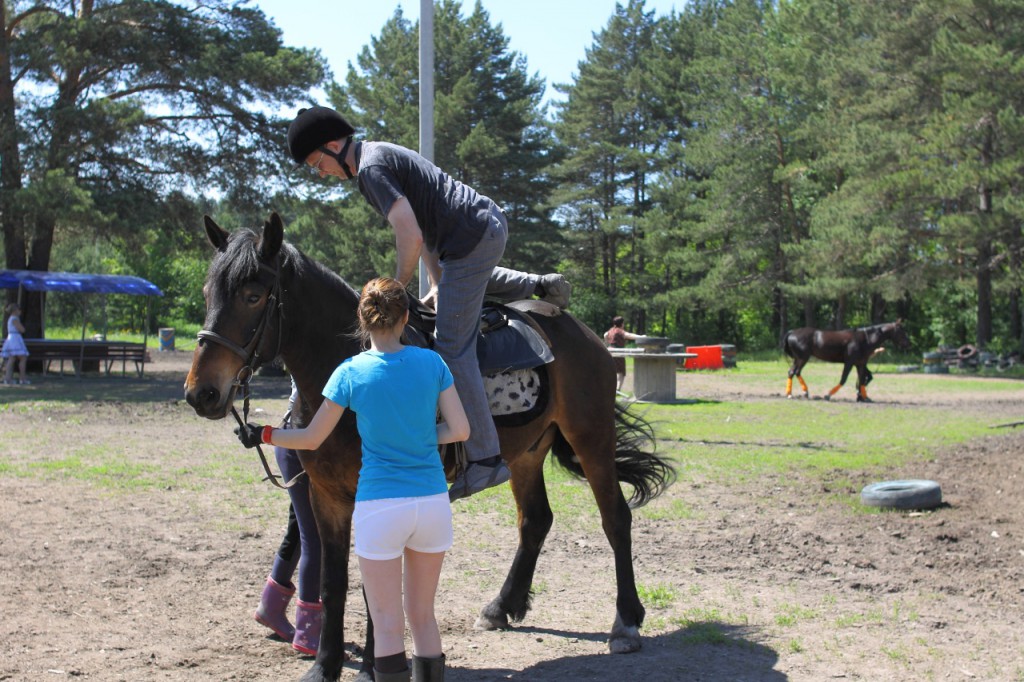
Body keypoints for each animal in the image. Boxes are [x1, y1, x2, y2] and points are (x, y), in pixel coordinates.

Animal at [184, 212, 679, 679]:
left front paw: (374, 666)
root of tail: (582, 333)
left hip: (592, 436)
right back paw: (502, 606)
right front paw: (324, 666)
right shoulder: (326, 497)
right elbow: (333, 582)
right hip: (526, 454)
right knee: (536, 521)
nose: (201, 392)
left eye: (252, 295)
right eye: (208, 293)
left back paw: (625, 622)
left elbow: (376, 585)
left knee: (615, 518)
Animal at [782, 319, 913, 401]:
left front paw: (862, 397)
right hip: (802, 358)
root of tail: (792, 332)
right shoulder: (849, 363)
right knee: (794, 372)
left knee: (793, 372)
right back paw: (793, 394)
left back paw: (797, 392)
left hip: (799, 358)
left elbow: (861, 380)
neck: (865, 339)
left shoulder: (860, 364)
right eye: (901, 331)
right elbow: (844, 379)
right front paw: (828, 394)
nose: (909, 344)